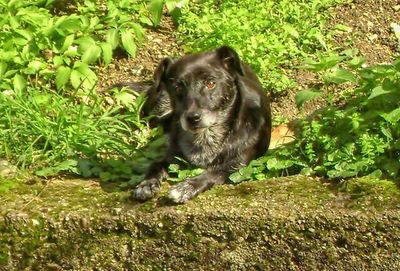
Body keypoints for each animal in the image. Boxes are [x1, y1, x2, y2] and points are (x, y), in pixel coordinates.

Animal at [133, 46, 270, 204]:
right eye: (177, 87)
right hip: (160, 106)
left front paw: (186, 187)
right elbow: (155, 164)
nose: (193, 117)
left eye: (210, 83)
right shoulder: (172, 158)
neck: (207, 134)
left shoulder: (239, 164)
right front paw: (146, 184)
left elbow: (213, 172)